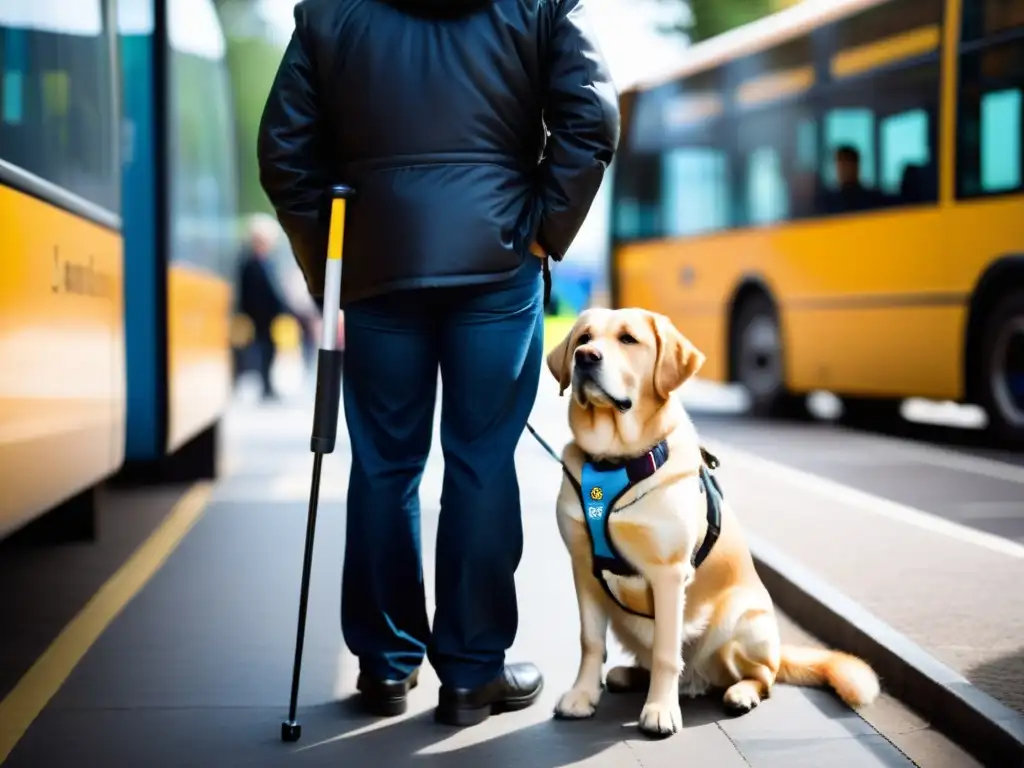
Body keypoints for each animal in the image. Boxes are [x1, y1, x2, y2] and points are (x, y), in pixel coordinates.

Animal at [548, 307, 876, 741]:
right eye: (583, 337)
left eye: (628, 339)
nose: (585, 357)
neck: (613, 461)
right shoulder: (583, 568)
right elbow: (589, 641)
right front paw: (582, 697)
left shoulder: (669, 575)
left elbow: (667, 652)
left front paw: (660, 710)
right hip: (624, 621)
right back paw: (629, 676)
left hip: (742, 620)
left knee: (764, 676)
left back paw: (740, 692)